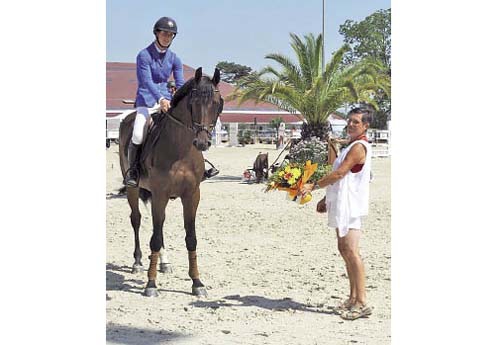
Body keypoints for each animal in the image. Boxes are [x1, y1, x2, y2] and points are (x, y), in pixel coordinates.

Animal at [118, 66, 224, 296]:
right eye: (194, 102)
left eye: (218, 103)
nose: (202, 143)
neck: (181, 150)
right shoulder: (160, 194)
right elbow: (155, 239)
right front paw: (151, 284)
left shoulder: (191, 195)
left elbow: (190, 238)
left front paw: (197, 283)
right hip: (134, 190)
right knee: (137, 219)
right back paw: (138, 262)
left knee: (158, 225)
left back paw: (164, 263)